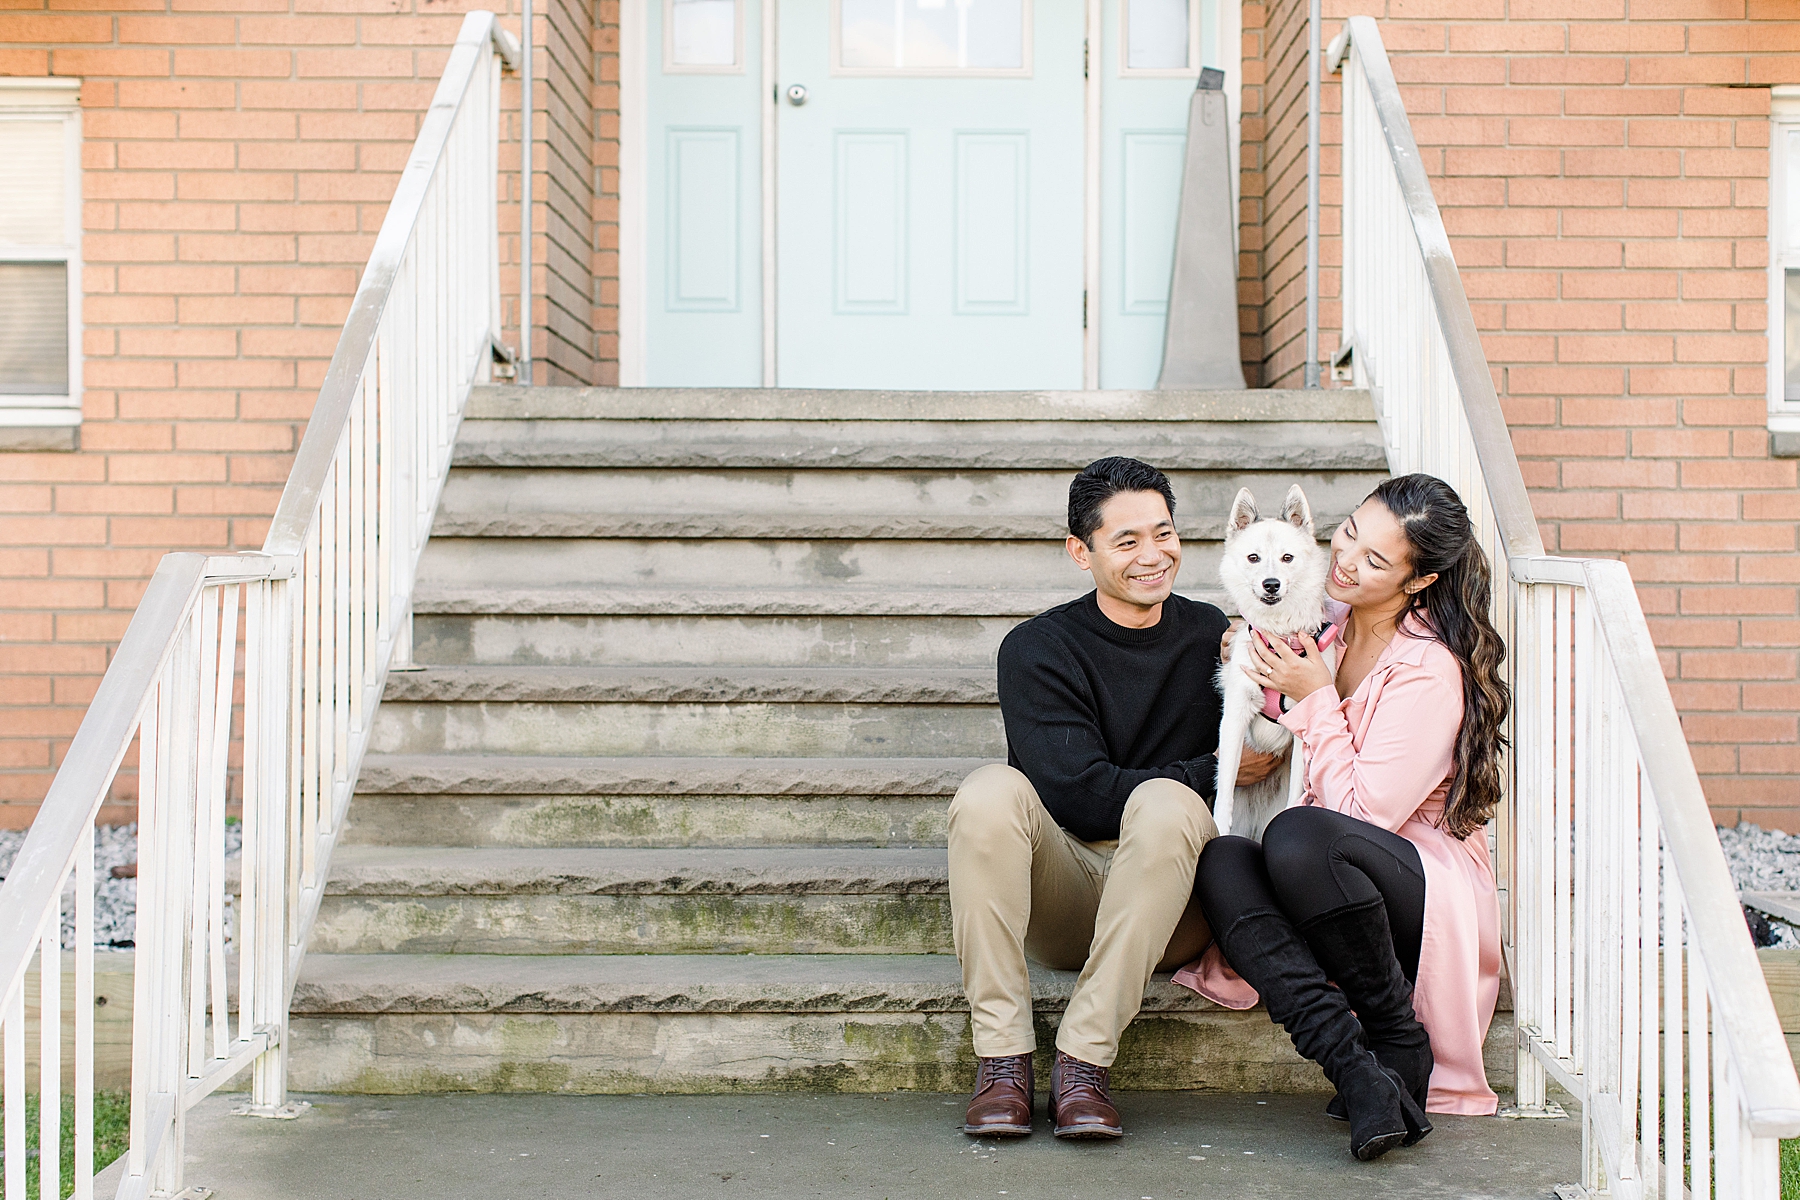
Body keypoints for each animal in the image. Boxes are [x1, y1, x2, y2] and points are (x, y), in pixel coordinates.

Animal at [1209, 482, 1339, 841]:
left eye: (1287, 558)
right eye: (1253, 558)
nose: (1271, 584)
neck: (1280, 635)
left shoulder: (1302, 728)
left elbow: (1297, 791)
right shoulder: (1235, 715)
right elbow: (1225, 788)